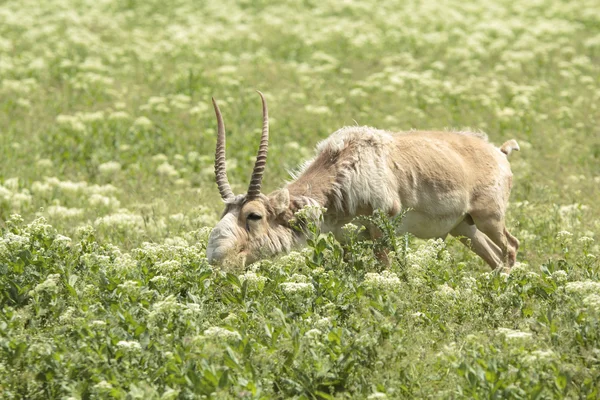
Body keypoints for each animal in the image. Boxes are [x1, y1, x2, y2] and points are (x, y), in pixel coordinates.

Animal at [206, 92, 520, 270]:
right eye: (224, 212)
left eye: (254, 215)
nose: (217, 258)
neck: (346, 164)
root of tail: (499, 152)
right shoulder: (345, 239)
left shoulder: (382, 232)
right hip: (464, 228)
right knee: (494, 257)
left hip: (489, 219)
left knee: (511, 247)